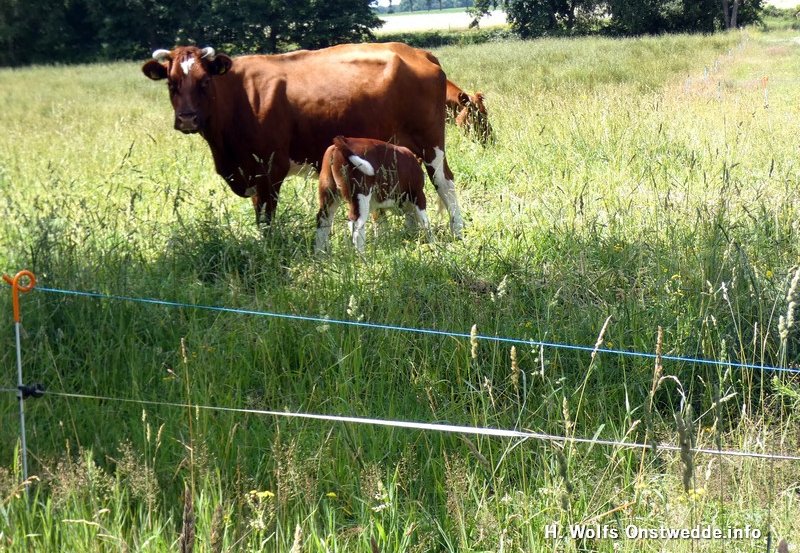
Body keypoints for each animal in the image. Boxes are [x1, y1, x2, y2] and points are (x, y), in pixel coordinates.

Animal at [141, 43, 463, 238]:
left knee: (445, 183)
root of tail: (415, 51)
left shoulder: (269, 170)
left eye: (204, 81)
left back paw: (457, 231)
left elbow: (265, 220)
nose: (187, 119)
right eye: (172, 83)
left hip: (431, 143)